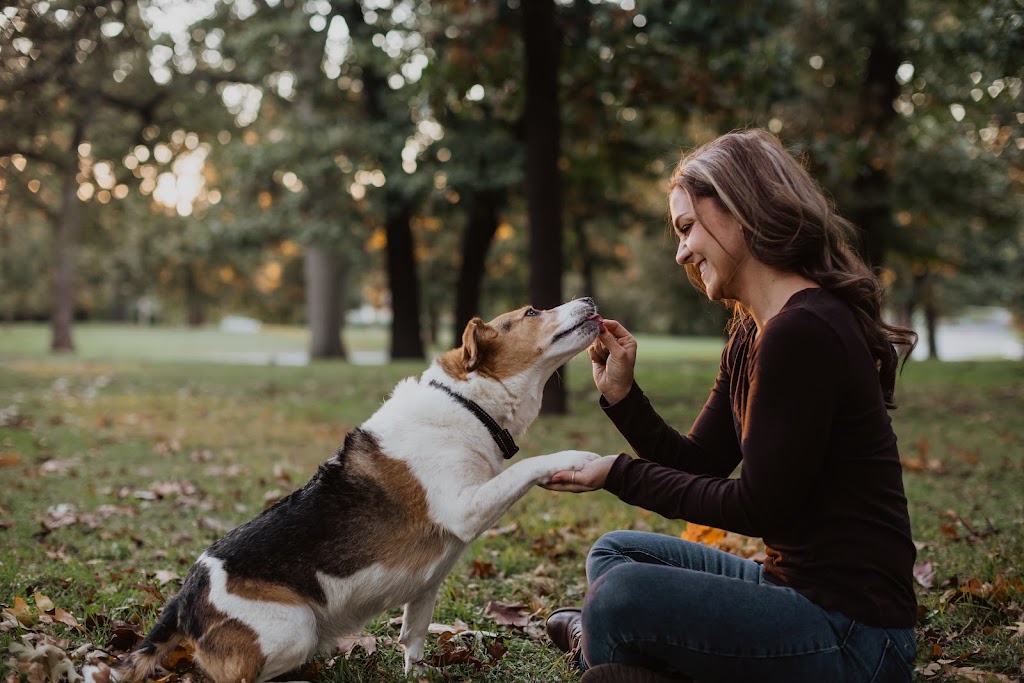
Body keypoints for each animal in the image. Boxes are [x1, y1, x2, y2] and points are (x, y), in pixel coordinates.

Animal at [97, 299, 598, 683]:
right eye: (532, 311)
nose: (589, 300)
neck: (467, 405)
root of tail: (185, 597)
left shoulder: (427, 585)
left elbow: (413, 637)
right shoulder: (465, 508)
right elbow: (530, 466)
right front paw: (576, 457)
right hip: (294, 629)